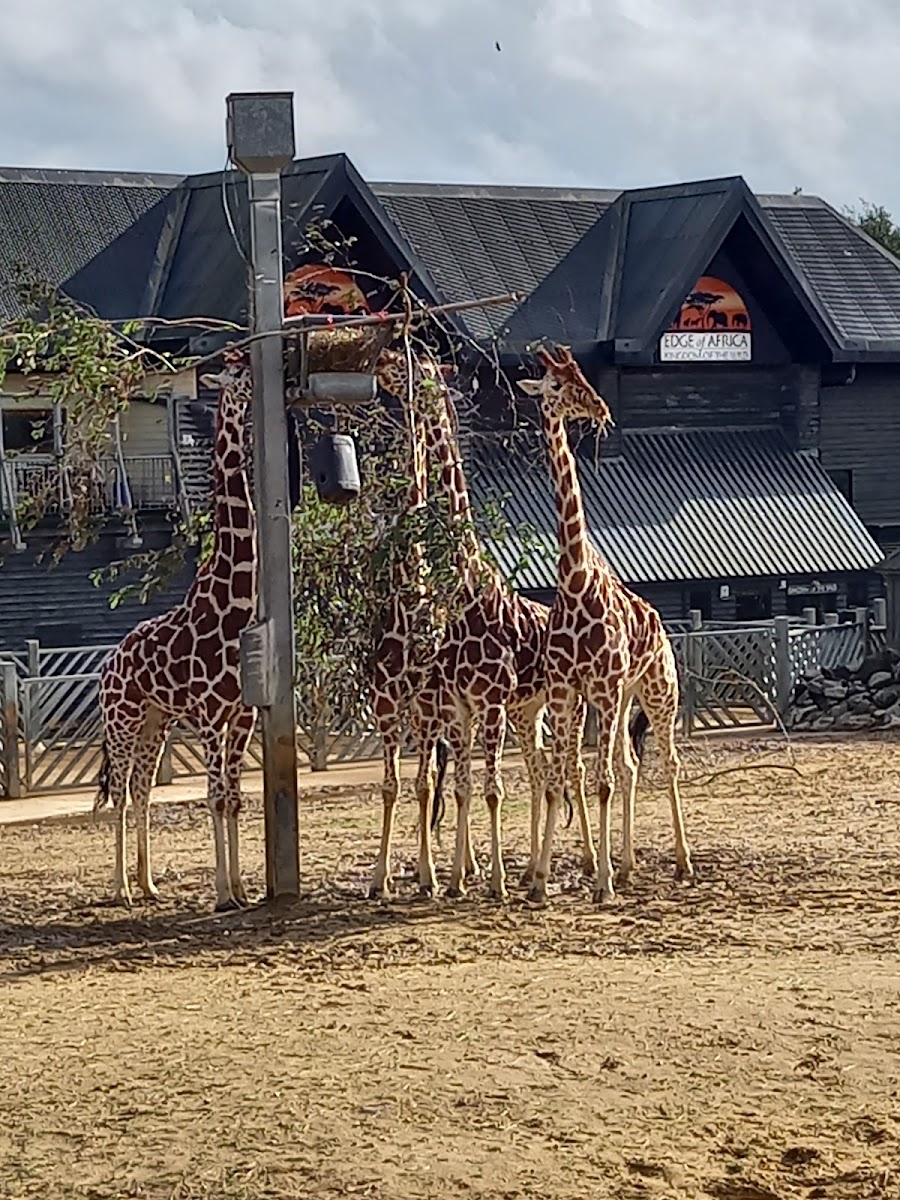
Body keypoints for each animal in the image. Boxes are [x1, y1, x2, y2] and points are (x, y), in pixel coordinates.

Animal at [94, 348, 259, 912]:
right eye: (234, 373)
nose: (256, 379)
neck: (234, 606)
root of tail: (108, 662)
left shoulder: (243, 715)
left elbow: (235, 797)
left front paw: (242, 890)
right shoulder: (210, 717)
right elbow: (215, 796)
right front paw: (223, 893)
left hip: (155, 722)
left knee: (142, 788)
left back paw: (148, 884)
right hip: (121, 718)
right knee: (120, 792)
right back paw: (120, 888)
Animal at [372, 346, 599, 900]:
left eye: (415, 369)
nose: (383, 364)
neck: (468, 586)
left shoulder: (485, 700)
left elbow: (491, 789)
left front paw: (488, 881)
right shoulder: (452, 705)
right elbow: (460, 786)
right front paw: (454, 878)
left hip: (563, 704)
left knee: (570, 768)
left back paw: (578, 863)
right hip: (524, 711)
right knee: (538, 773)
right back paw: (527, 869)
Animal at [516, 345, 693, 906]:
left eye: (582, 377)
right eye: (555, 385)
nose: (599, 408)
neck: (573, 578)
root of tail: (660, 624)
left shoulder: (606, 687)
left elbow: (601, 782)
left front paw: (602, 884)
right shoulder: (566, 690)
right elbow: (563, 777)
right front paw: (543, 882)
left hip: (656, 691)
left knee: (664, 764)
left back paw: (681, 863)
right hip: (622, 698)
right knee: (629, 764)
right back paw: (631, 864)